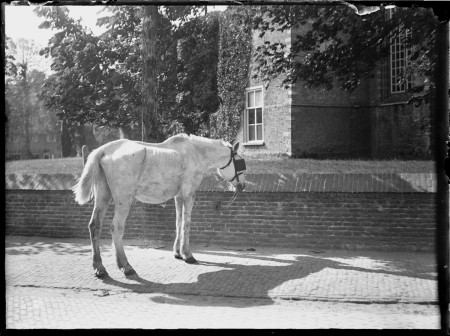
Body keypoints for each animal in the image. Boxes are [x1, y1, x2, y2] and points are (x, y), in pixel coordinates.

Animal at [73, 134, 246, 278]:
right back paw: (126, 266)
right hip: (124, 200)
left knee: (94, 226)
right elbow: (186, 224)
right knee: (116, 228)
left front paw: (178, 253)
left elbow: (178, 222)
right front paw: (187, 255)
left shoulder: (178, 196)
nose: (242, 186)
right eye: (239, 162)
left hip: (103, 196)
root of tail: (104, 150)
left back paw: (99, 268)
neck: (194, 153)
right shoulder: (189, 194)